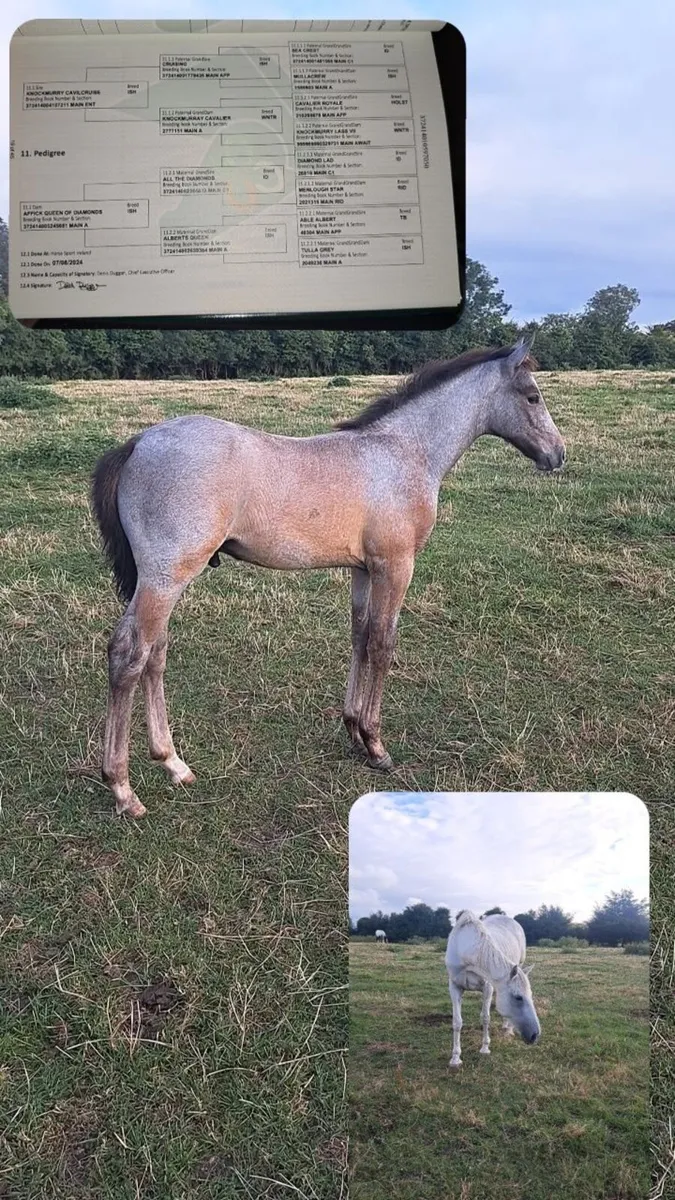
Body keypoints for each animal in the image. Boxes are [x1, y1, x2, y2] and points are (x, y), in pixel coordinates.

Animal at [91, 337, 565, 817]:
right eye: (532, 396)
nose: (557, 454)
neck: (404, 453)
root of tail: (138, 443)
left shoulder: (363, 569)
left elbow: (360, 636)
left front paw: (353, 730)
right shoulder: (396, 566)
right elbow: (382, 644)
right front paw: (376, 745)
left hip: (161, 582)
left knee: (155, 654)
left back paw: (174, 764)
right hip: (165, 578)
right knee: (130, 655)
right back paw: (123, 788)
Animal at [445, 910, 541, 1068]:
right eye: (518, 997)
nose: (535, 1035)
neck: (465, 948)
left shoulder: (487, 987)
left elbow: (485, 1018)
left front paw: (485, 1048)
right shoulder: (454, 987)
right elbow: (457, 1022)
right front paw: (455, 1058)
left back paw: (508, 1029)